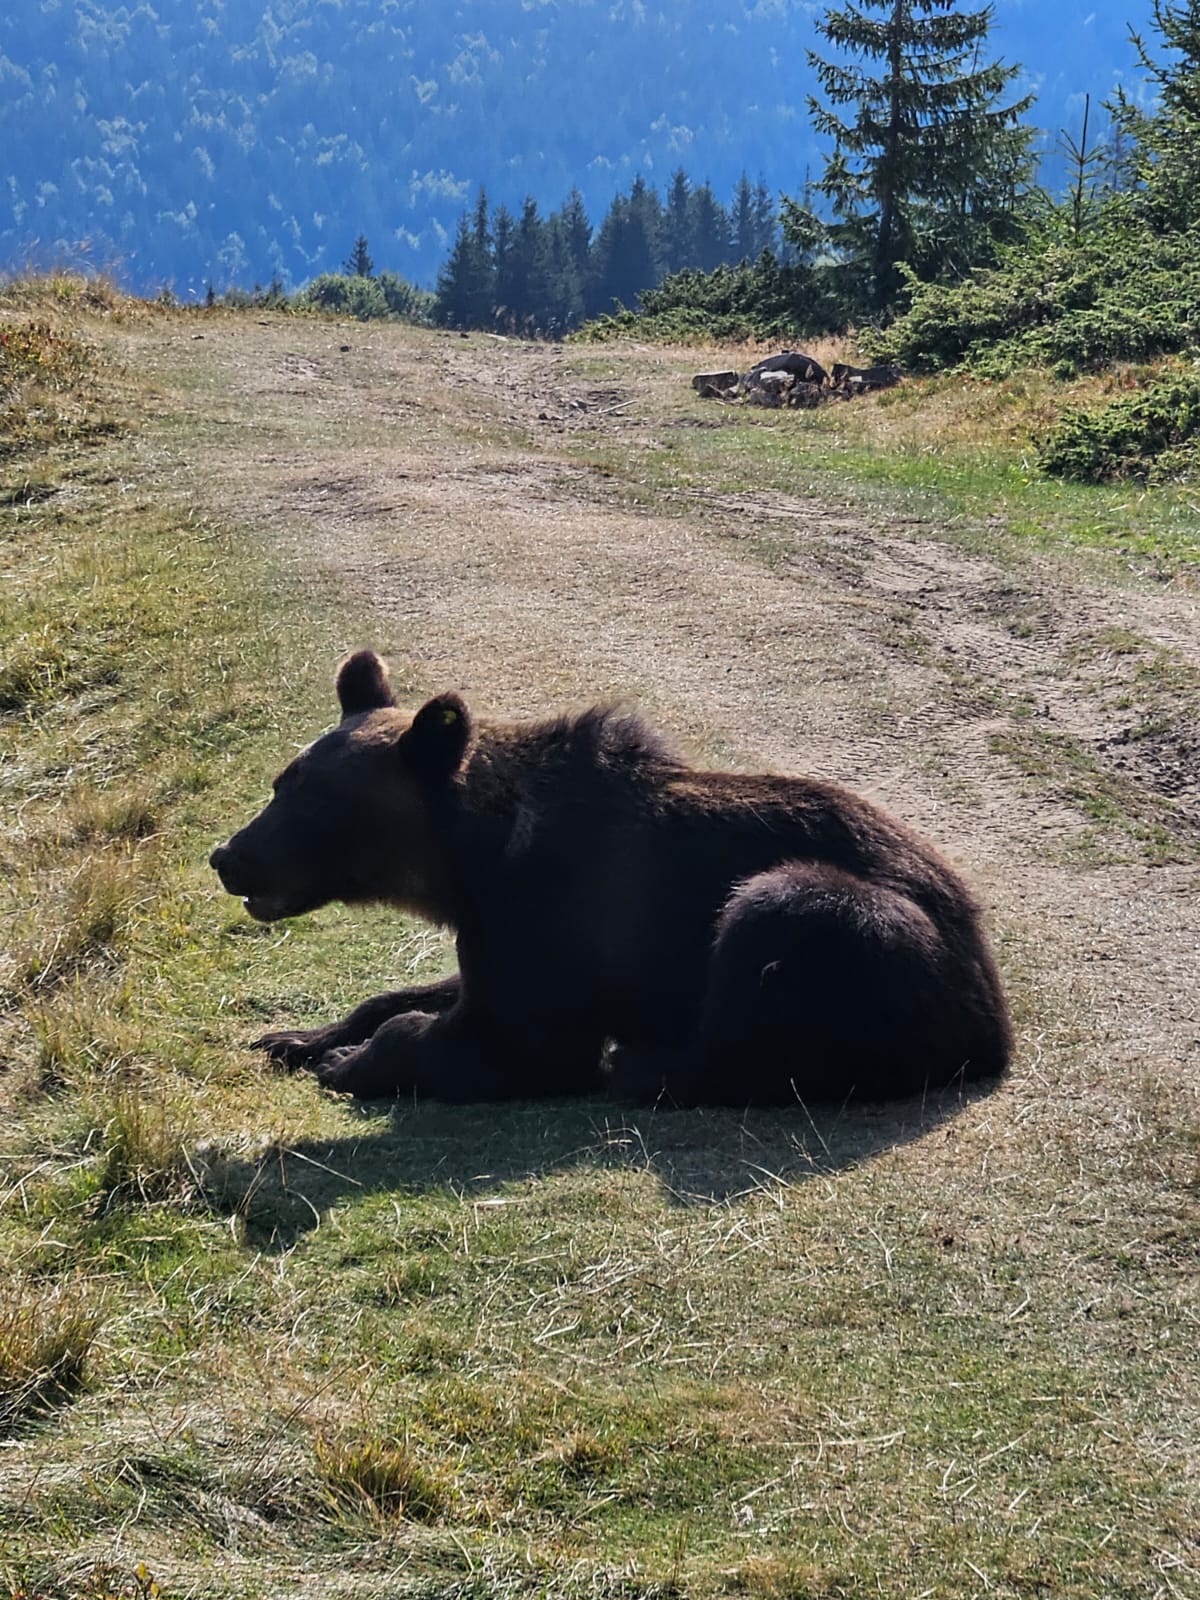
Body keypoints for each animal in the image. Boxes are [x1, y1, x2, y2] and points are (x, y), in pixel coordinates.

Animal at [209, 649, 1017, 1100]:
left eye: (314, 804)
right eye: (282, 783)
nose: (228, 856)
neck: (475, 861)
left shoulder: (559, 918)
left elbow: (519, 1046)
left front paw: (351, 1062)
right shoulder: (498, 927)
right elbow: (426, 993)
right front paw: (298, 1036)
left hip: (869, 935)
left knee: (779, 929)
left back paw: (652, 1068)